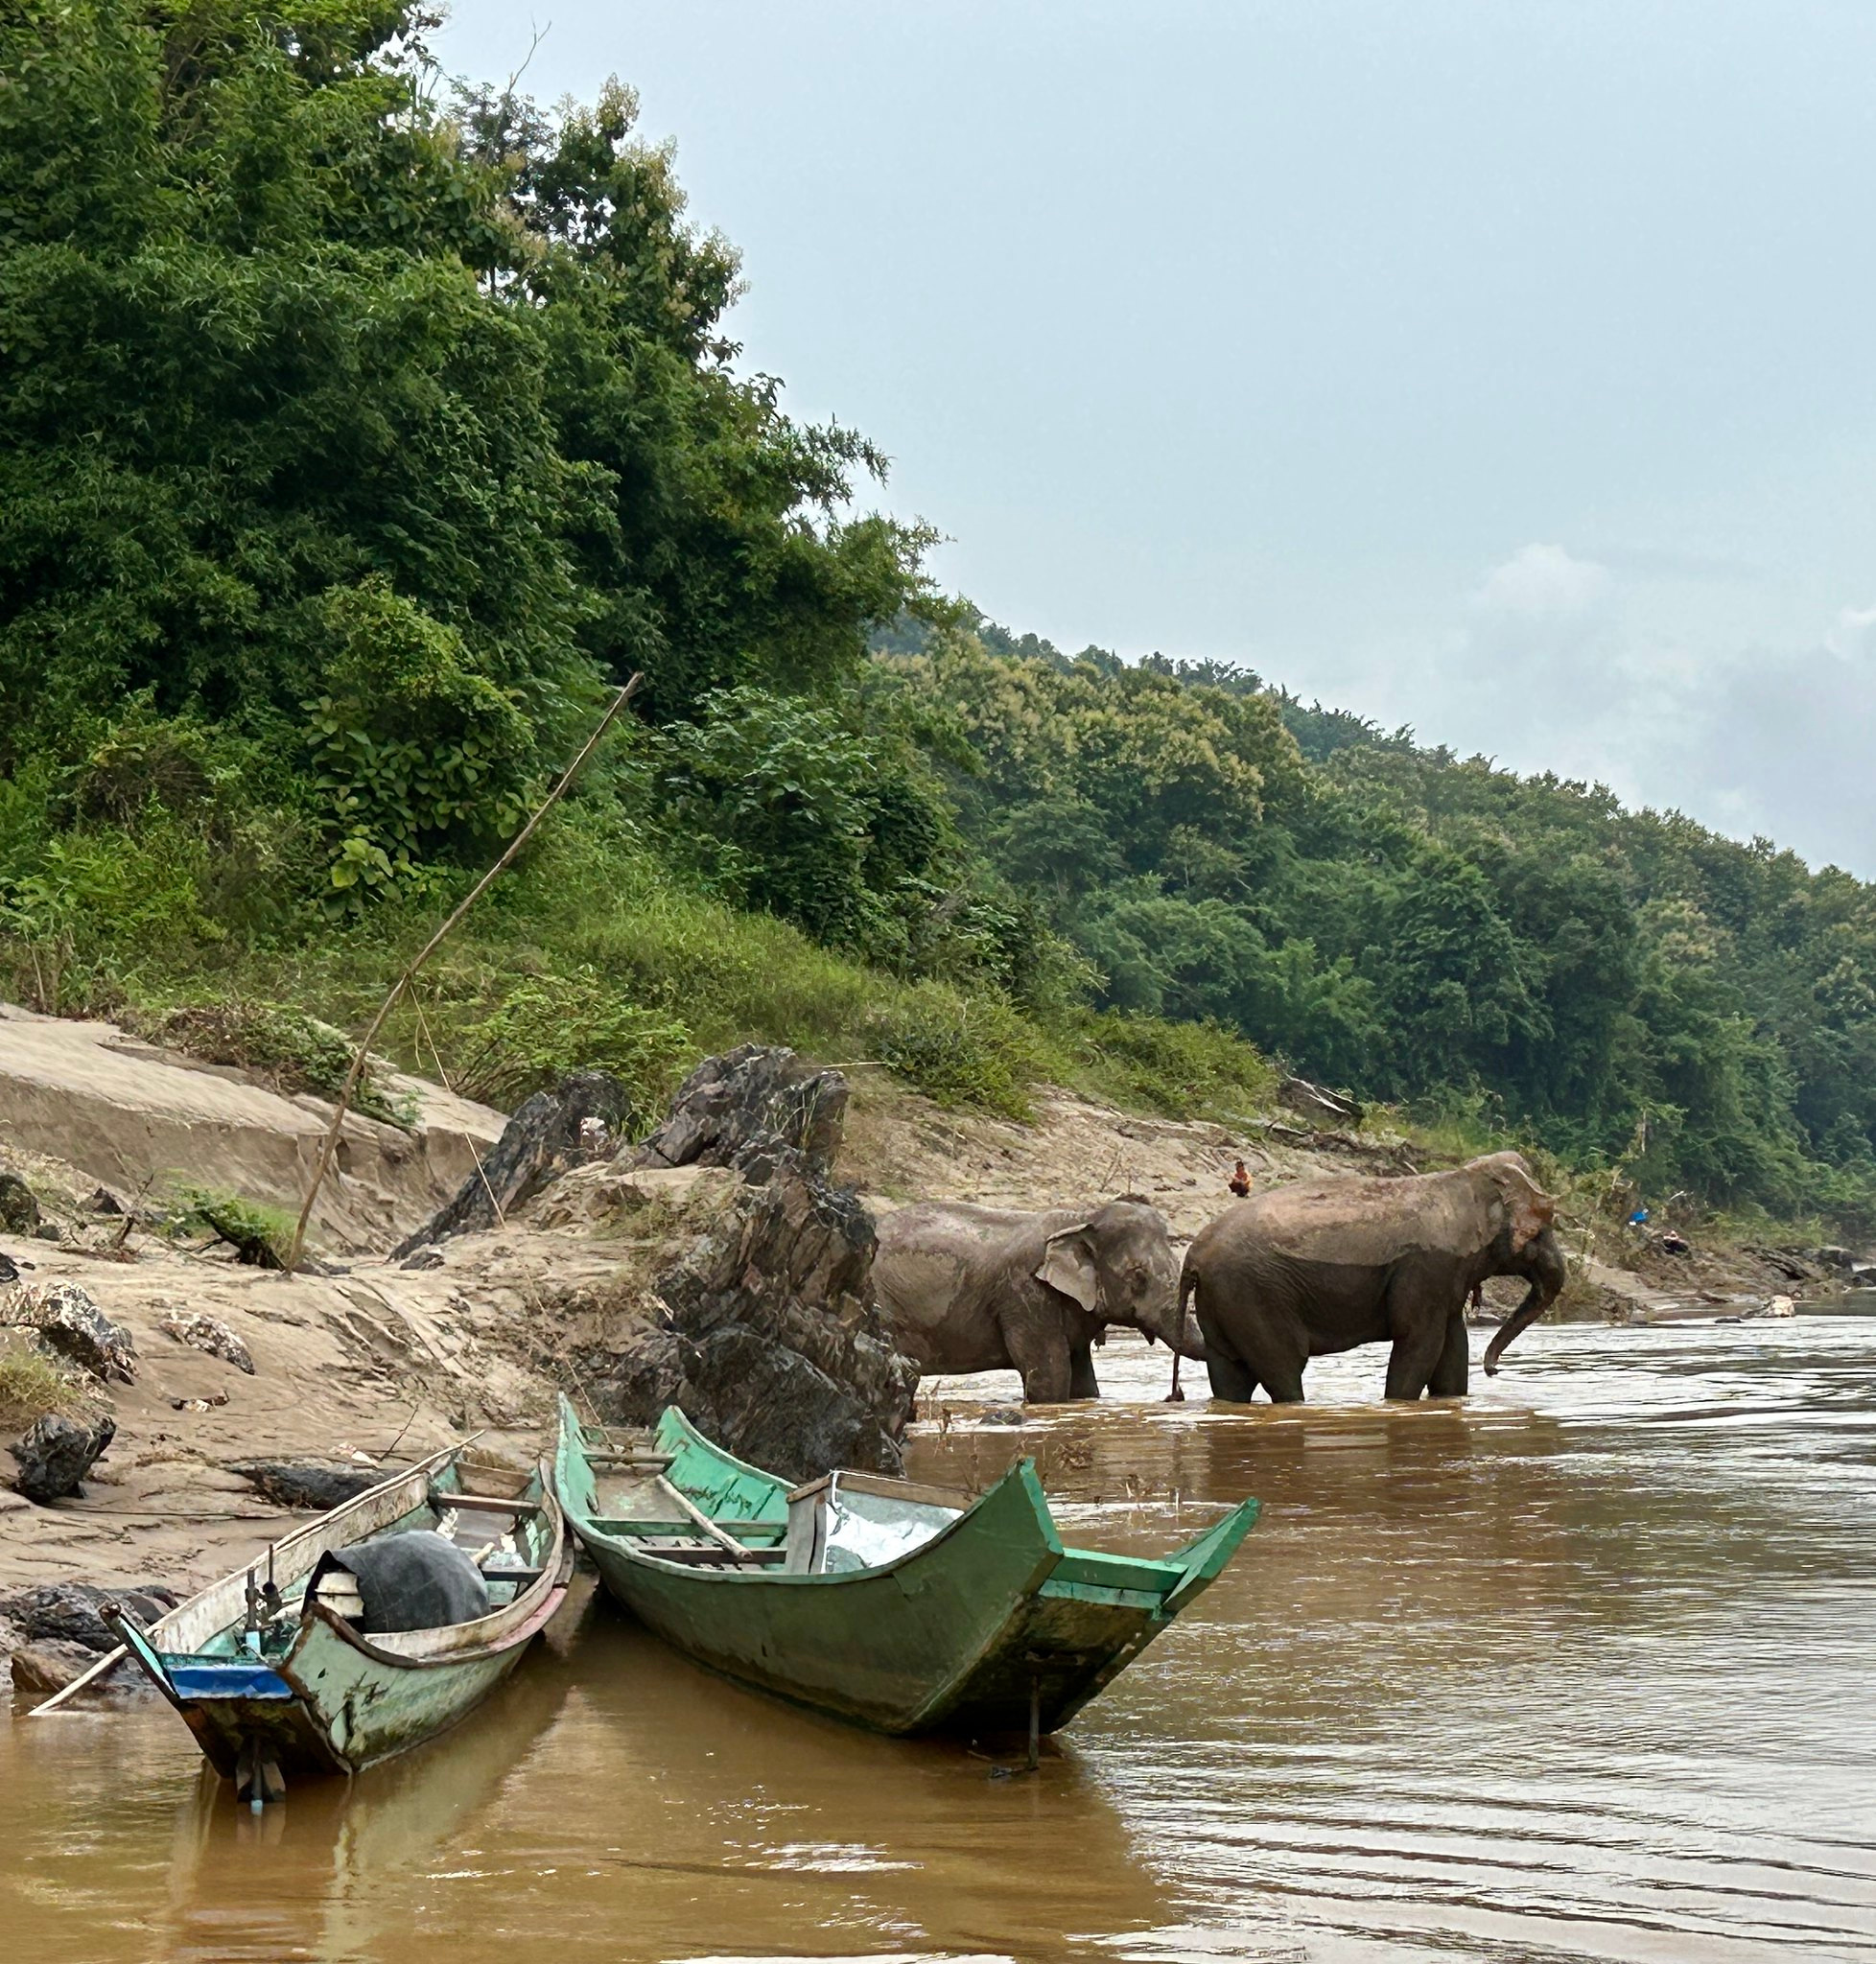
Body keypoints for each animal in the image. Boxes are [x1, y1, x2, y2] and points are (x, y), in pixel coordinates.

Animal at [872, 1197, 1209, 1403]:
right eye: (1138, 1276)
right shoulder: (1025, 1293)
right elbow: (1051, 1378)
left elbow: (1083, 1384)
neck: (1082, 1217)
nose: (1175, 1395)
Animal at [1179, 1151, 1566, 1403]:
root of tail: (1193, 1256)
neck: (1460, 1183)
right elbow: (1419, 1343)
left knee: (1230, 1375)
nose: (1494, 1371)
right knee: (1284, 1370)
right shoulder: (1426, 1270)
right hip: (1254, 1298)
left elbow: (1454, 1348)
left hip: (1223, 1302)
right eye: (1539, 1231)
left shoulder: (1443, 1277)